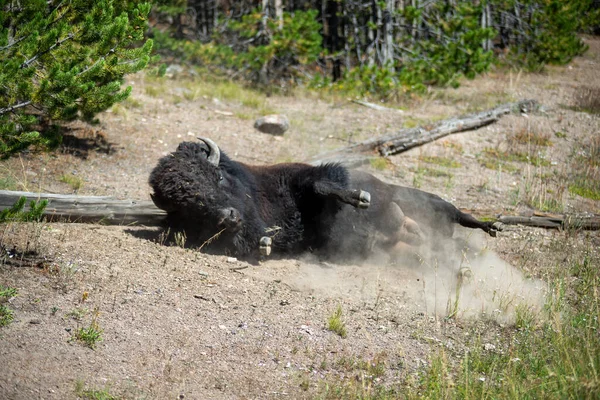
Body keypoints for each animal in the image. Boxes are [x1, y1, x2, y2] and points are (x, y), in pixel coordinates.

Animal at [150, 138, 502, 262]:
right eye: (191, 207)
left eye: (218, 178)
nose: (229, 216)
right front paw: (263, 243)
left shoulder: (305, 178)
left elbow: (322, 185)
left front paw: (360, 198)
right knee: (442, 249)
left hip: (423, 199)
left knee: (458, 214)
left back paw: (492, 226)